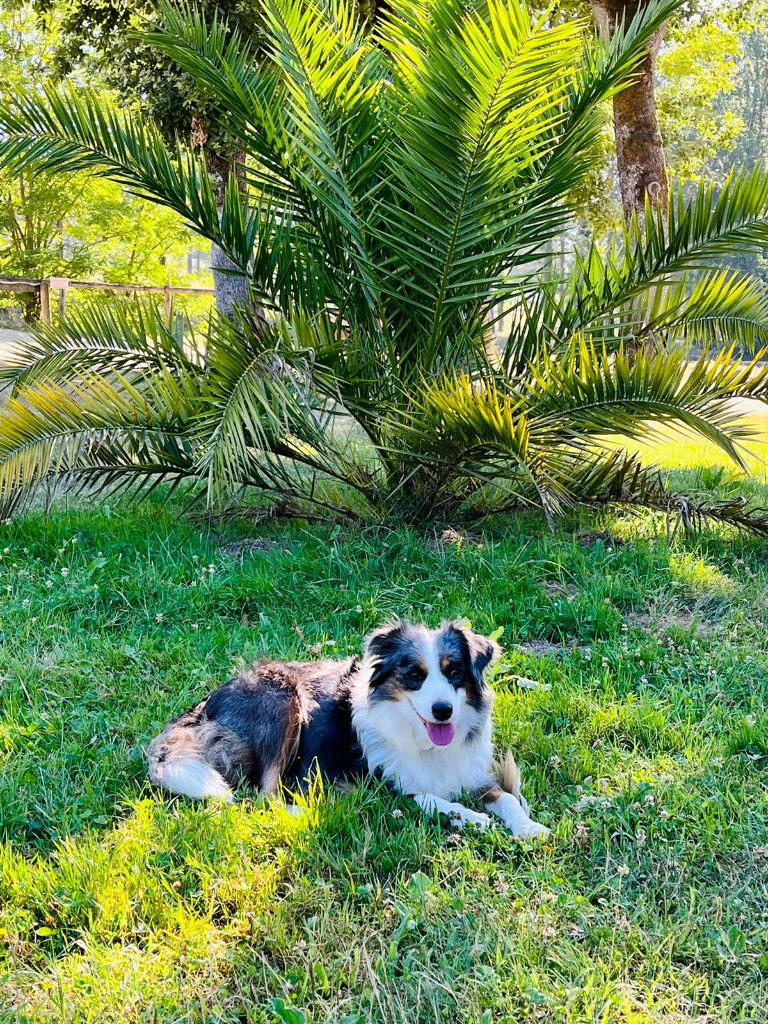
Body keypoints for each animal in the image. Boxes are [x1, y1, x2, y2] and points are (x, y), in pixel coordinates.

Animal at [147, 618, 548, 835]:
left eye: (455, 672)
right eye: (414, 675)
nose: (443, 711)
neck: (424, 741)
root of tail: (206, 705)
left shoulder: (471, 772)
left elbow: (506, 797)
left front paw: (529, 827)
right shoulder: (384, 785)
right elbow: (432, 799)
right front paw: (474, 818)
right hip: (283, 702)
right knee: (264, 794)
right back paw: (301, 810)